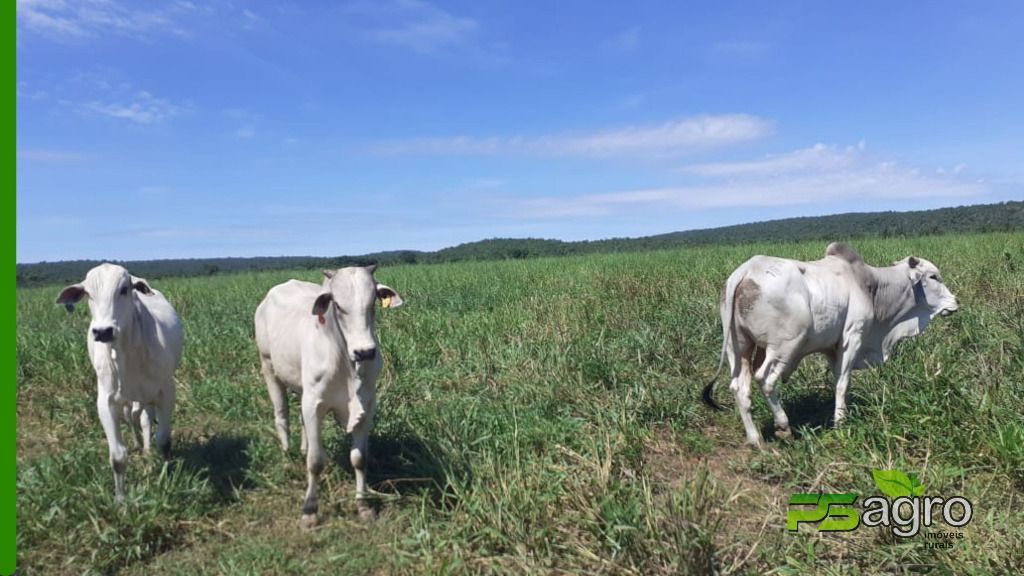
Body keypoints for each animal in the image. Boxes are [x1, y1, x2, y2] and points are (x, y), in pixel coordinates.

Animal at [57, 262, 184, 496]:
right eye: (88, 293)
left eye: (124, 289)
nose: (103, 331)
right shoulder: (106, 401)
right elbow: (117, 457)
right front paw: (120, 498)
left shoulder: (166, 391)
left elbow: (163, 441)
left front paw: (165, 478)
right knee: (133, 418)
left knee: (144, 420)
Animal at [251, 264, 403, 524]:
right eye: (339, 306)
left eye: (373, 302)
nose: (365, 352)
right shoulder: (314, 405)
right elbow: (315, 462)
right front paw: (310, 510)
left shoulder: (367, 405)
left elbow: (359, 458)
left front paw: (363, 504)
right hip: (268, 366)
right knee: (281, 414)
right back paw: (287, 454)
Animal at [704, 240, 958, 444]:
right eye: (933, 277)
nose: (955, 302)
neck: (872, 286)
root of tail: (746, 271)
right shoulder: (852, 337)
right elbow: (843, 382)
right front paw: (840, 423)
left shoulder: (831, 347)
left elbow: (837, 379)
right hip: (784, 347)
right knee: (765, 380)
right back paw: (783, 426)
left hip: (739, 348)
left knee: (739, 387)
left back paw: (755, 439)